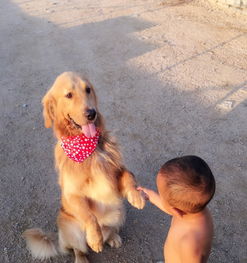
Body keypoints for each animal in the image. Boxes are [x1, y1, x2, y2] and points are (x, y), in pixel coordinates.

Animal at [23, 72, 145, 263]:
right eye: (69, 95)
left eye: (88, 89)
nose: (91, 113)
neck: (87, 148)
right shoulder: (73, 194)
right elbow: (90, 216)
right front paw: (95, 239)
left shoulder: (114, 175)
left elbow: (128, 175)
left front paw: (136, 196)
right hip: (72, 231)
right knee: (78, 249)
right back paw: (84, 255)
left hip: (118, 213)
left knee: (109, 231)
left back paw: (112, 238)